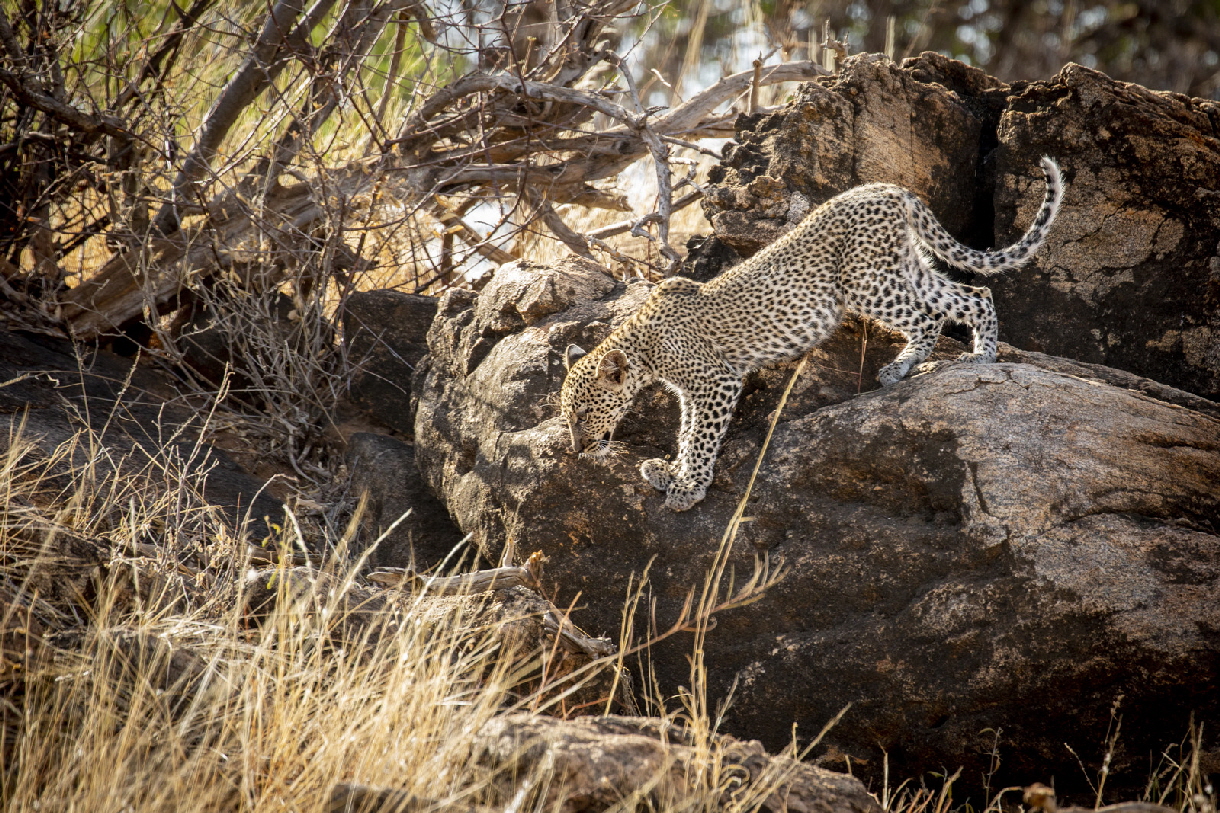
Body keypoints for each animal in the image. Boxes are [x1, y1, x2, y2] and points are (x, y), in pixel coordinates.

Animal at [560, 158, 1064, 512]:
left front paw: (689, 488)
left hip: (865, 282)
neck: (642, 349)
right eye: (570, 417)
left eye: (584, 413)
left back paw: (929, 365)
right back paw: (971, 356)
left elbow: (701, 437)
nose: (578, 449)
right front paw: (670, 471)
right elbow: (687, 432)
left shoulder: (716, 381)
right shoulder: (691, 392)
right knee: (975, 293)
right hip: (906, 268)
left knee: (932, 315)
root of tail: (889, 187)